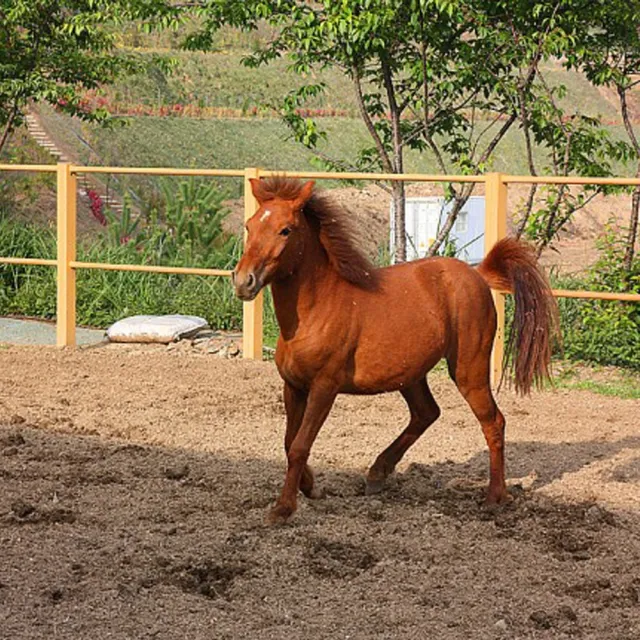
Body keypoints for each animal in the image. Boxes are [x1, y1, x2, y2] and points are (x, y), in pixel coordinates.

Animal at [232, 176, 556, 524]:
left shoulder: (323, 388)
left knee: (493, 421)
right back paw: (377, 473)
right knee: (427, 412)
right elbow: (288, 441)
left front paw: (283, 507)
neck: (315, 311)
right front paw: (310, 487)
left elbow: (300, 445)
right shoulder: (293, 386)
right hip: (410, 374)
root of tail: (478, 274)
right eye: (250, 225)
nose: (243, 281)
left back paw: (495, 496)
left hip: (468, 369)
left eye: (286, 230)